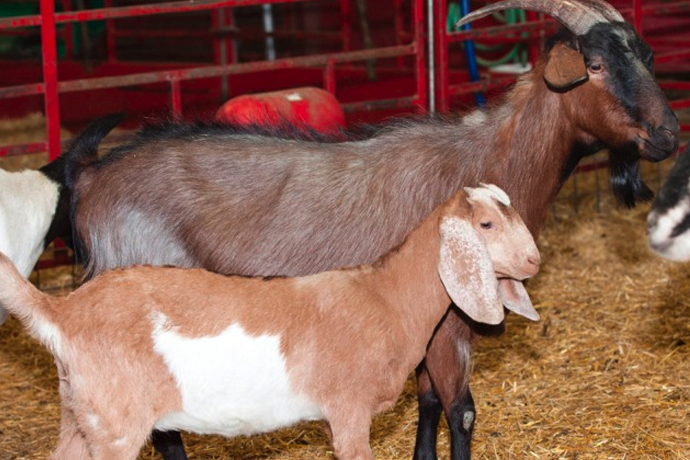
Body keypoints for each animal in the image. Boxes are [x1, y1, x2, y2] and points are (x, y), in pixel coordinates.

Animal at [1, 185, 539, 460]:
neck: (386, 296)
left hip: (81, 414)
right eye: (486, 224)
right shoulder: (348, 411)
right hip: (115, 426)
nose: (533, 260)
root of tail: (62, 312)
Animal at [65, 1, 679, 459]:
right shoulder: (448, 323)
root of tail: (91, 180)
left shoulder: (428, 328)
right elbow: (462, 412)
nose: (668, 134)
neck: (490, 159)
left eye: (647, 56)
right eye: (594, 64)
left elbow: (428, 405)